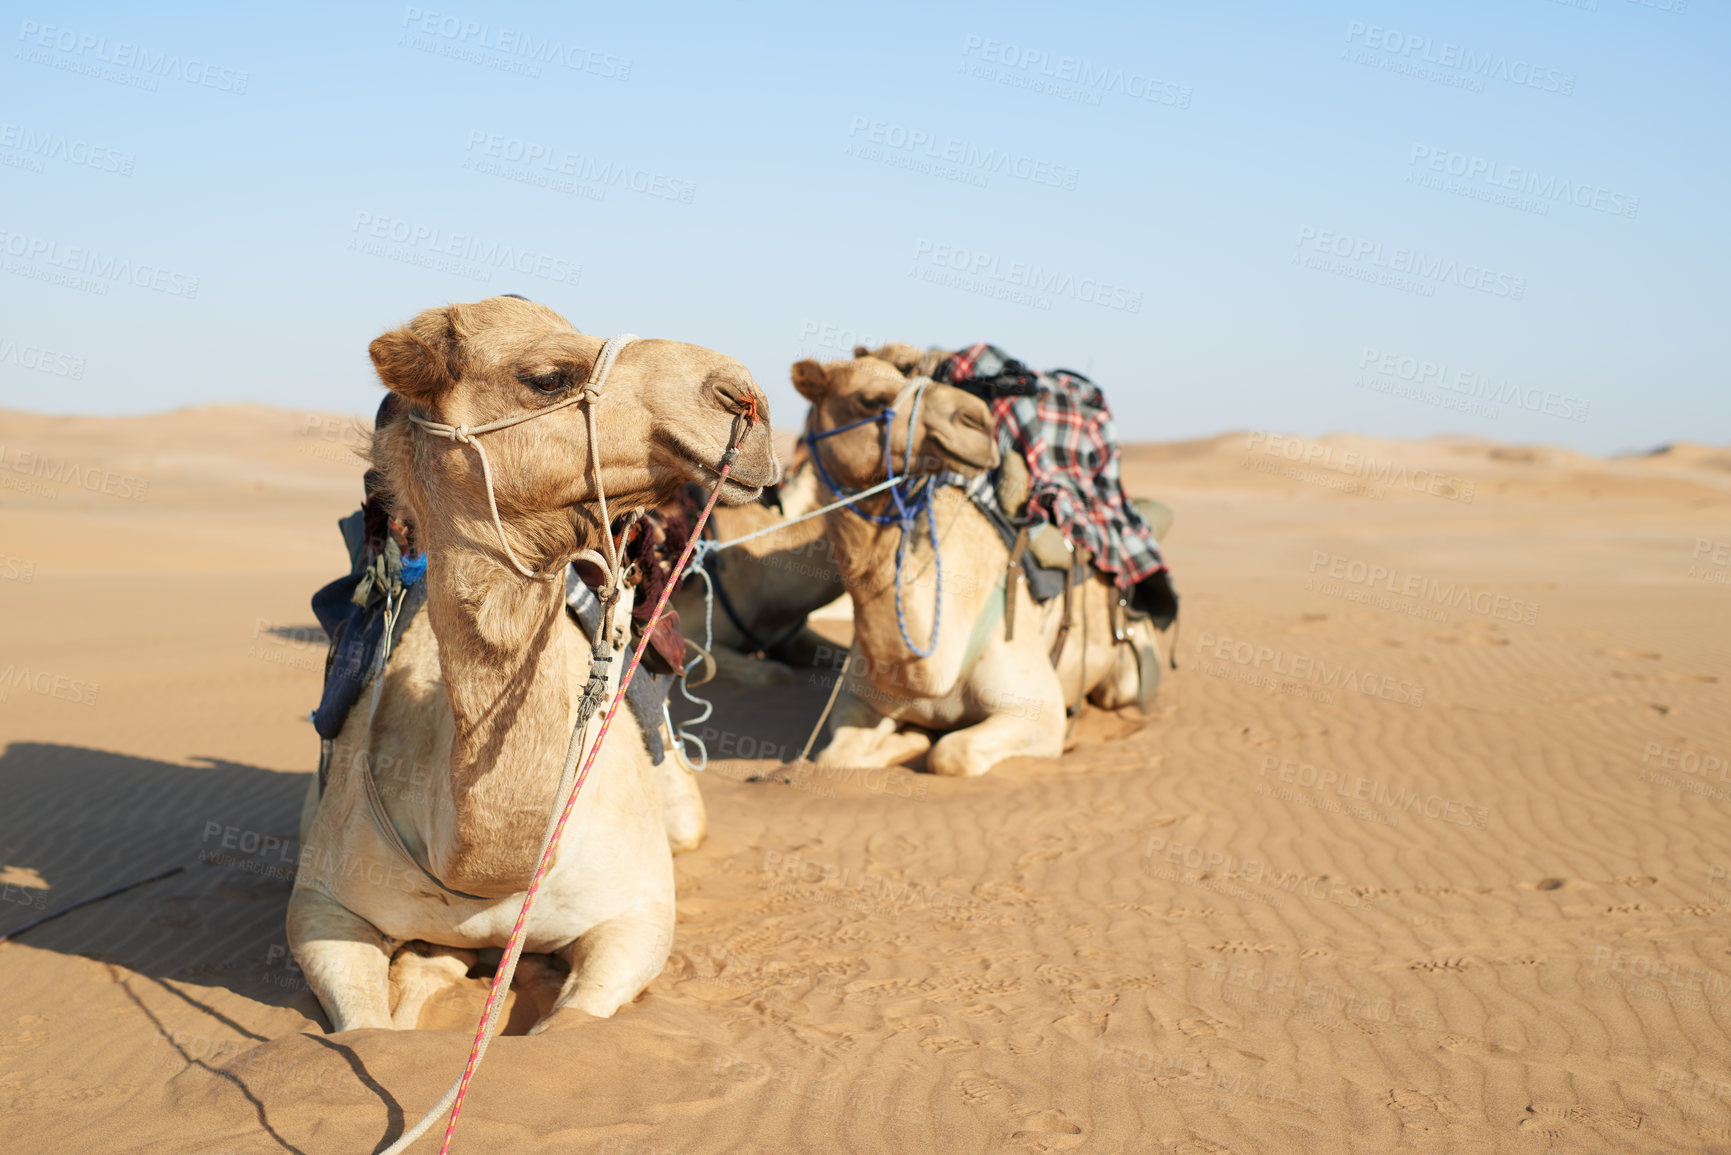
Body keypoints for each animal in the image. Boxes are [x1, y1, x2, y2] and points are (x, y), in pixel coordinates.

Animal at [287, 296, 775, 1032]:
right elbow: (365, 1029)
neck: (485, 872)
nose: (745, 399)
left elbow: (568, 1025)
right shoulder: (321, 902)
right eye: (546, 377)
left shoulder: (639, 913)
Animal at [792, 356, 1149, 782]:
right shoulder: (858, 698)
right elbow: (834, 757)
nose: (977, 420)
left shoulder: (1039, 710)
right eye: (870, 399)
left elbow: (950, 753)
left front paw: (918, 740)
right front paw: (911, 735)